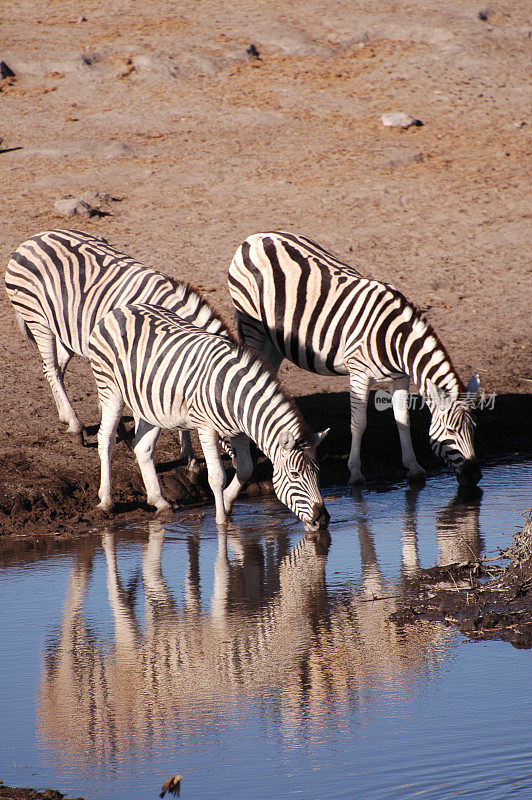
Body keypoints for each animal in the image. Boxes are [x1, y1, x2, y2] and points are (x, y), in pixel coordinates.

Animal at [4, 228, 229, 460]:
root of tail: (36, 237)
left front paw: (189, 456)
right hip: (37, 319)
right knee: (52, 369)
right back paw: (75, 427)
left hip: (65, 326)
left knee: (56, 367)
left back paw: (65, 416)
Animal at [87, 304, 328, 532]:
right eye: (295, 475)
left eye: (317, 472)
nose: (322, 520)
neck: (232, 393)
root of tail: (121, 309)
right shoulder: (206, 428)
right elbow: (217, 476)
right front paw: (221, 521)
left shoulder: (239, 430)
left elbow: (246, 468)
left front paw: (228, 503)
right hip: (110, 389)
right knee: (106, 440)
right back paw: (106, 502)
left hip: (149, 405)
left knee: (143, 448)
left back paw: (159, 501)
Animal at [228, 228, 482, 484]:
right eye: (450, 431)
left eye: (474, 427)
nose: (475, 475)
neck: (393, 338)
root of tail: (257, 236)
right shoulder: (359, 373)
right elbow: (358, 424)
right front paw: (356, 473)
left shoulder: (400, 377)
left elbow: (403, 420)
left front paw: (414, 467)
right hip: (252, 324)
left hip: (275, 337)